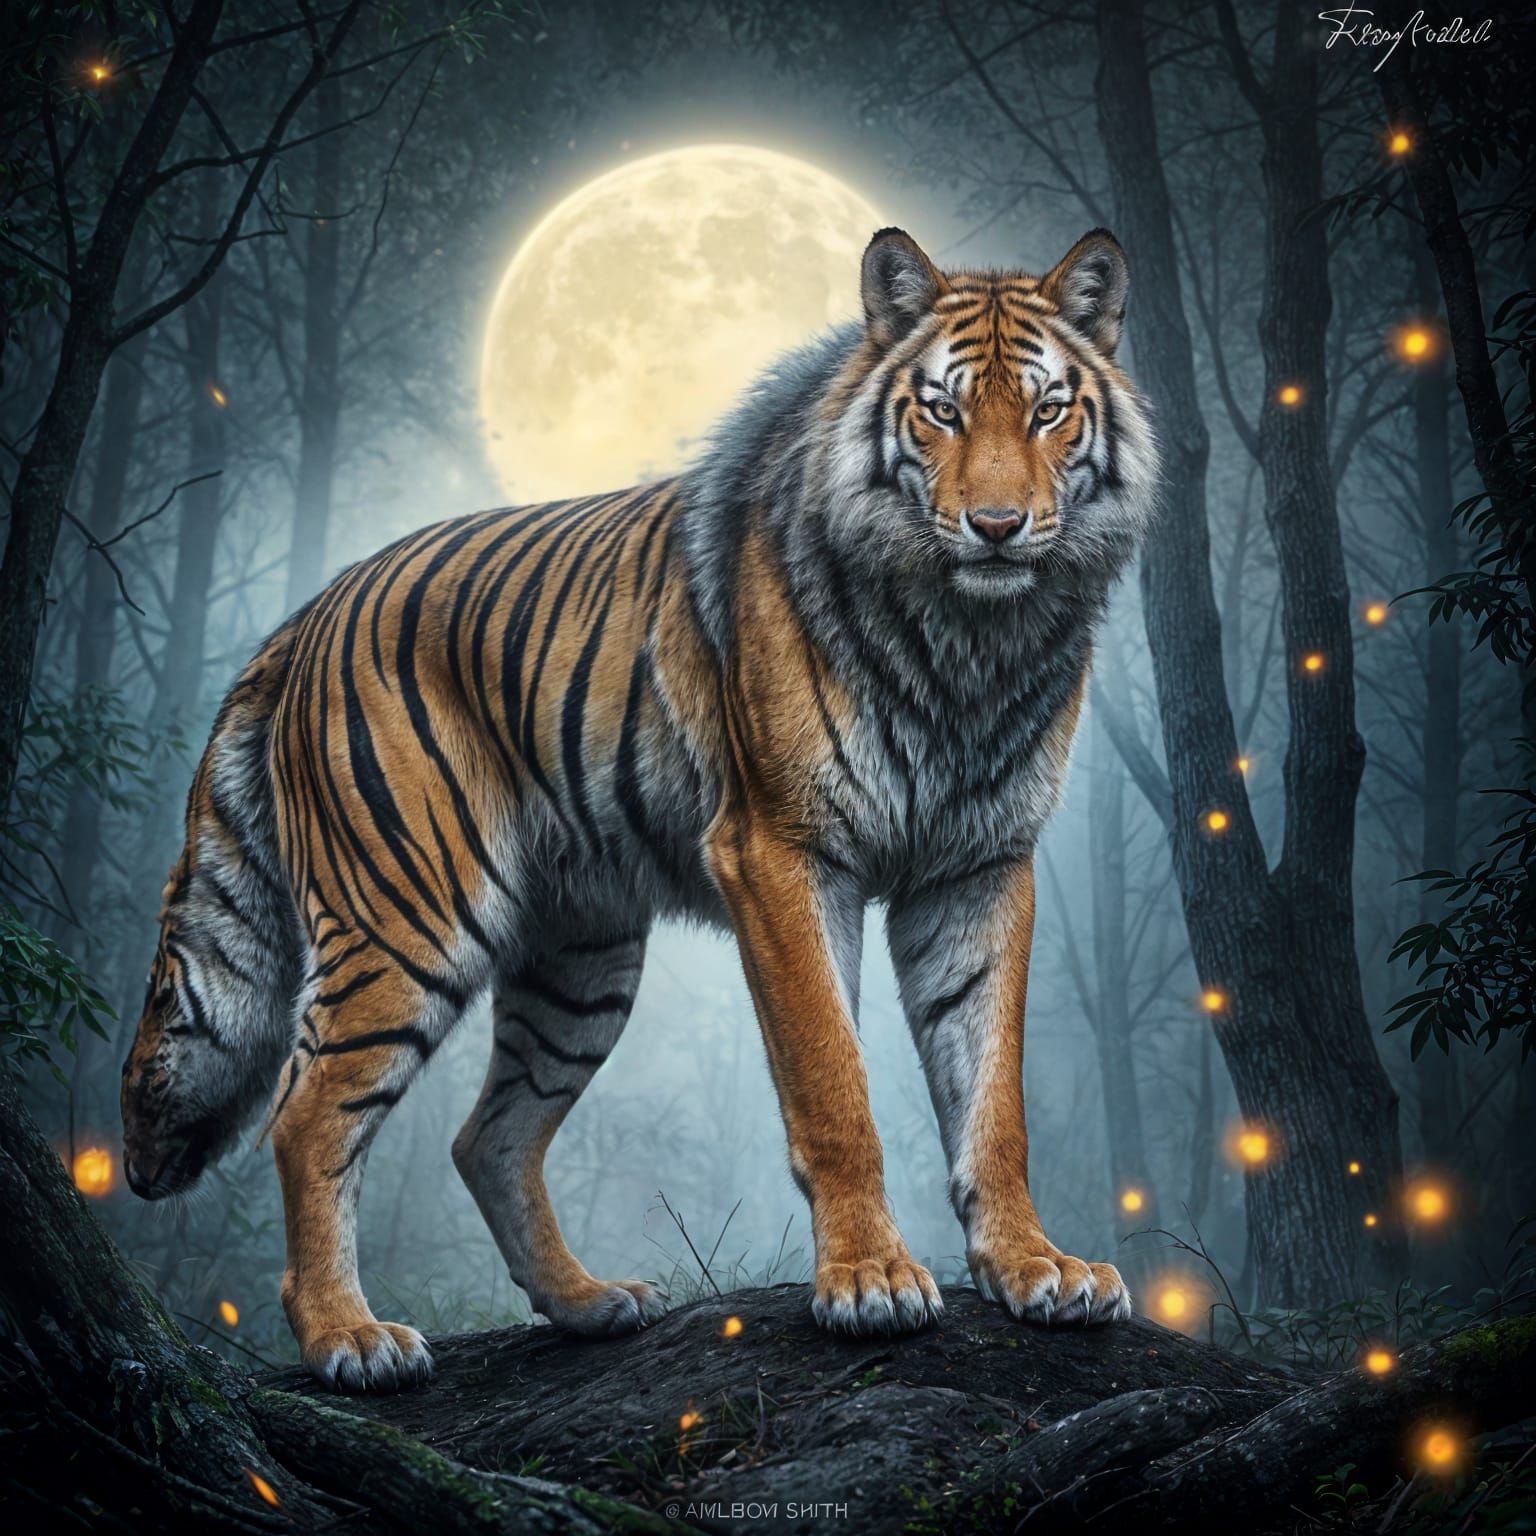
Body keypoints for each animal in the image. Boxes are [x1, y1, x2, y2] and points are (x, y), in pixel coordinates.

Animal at [121, 226, 1158, 1391]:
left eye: (1048, 410)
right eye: (940, 410)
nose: (997, 526)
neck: (973, 644)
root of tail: (306, 616)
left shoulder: (979, 868)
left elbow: (992, 1094)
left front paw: (1034, 1268)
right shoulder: (783, 851)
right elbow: (834, 1082)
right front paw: (871, 1281)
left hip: (579, 964)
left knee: (489, 1136)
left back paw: (586, 1305)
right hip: (408, 920)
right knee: (305, 1119)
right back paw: (352, 1339)